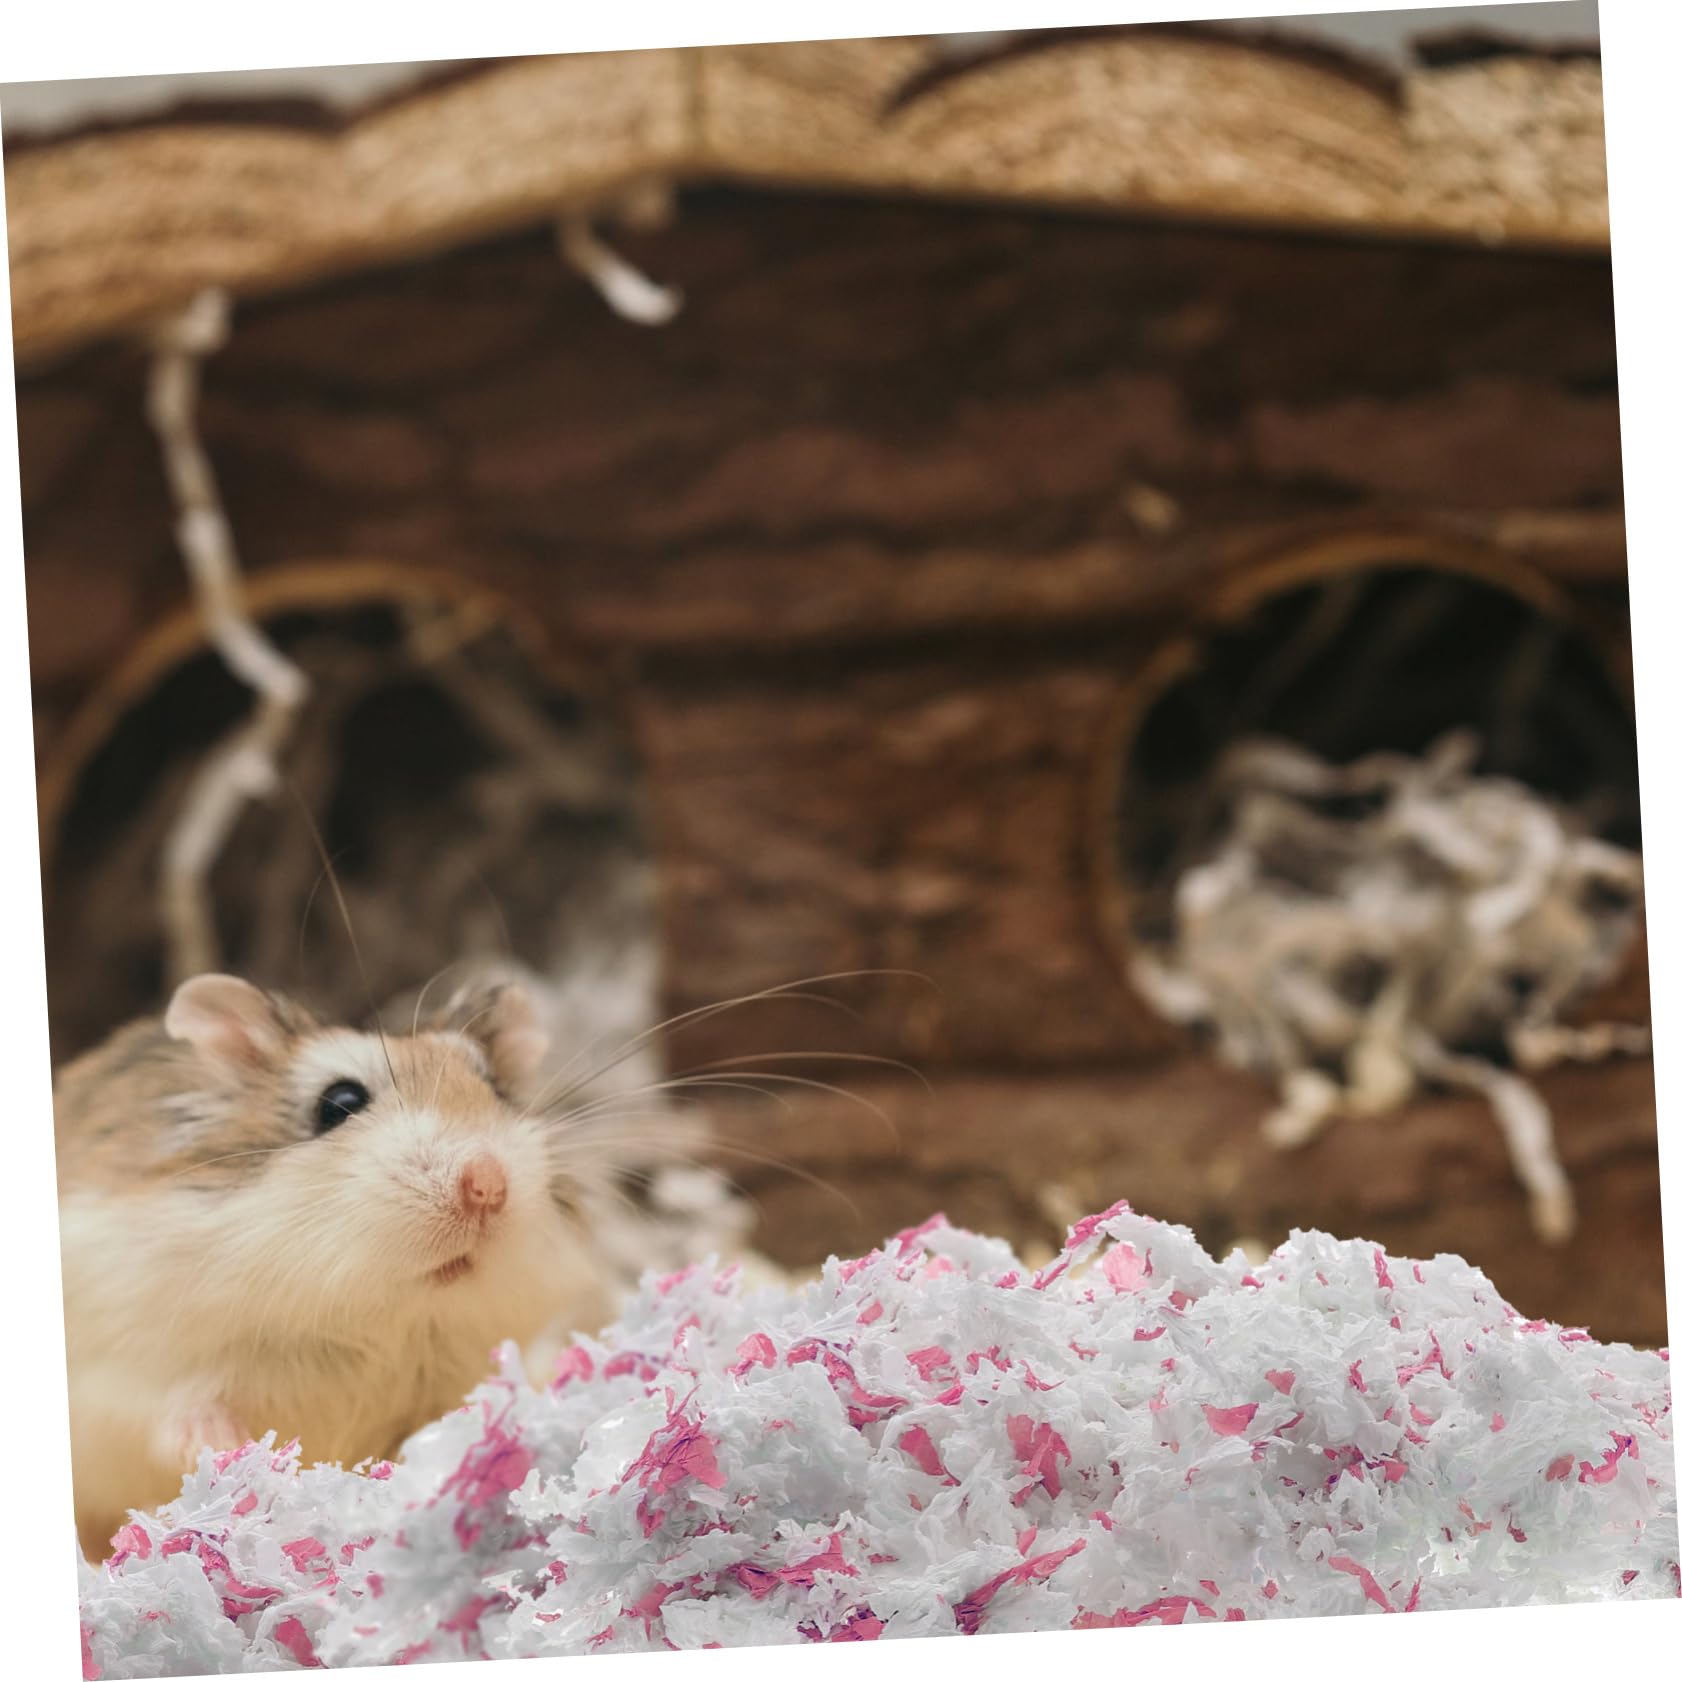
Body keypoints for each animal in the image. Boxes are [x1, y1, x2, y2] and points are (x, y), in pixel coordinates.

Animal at [54, 972, 611, 1559]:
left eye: (497, 1091)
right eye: (339, 1102)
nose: (487, 1185)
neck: (375, 1321)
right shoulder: (119, 1380)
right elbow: (174, 1417)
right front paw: (241, 1454)